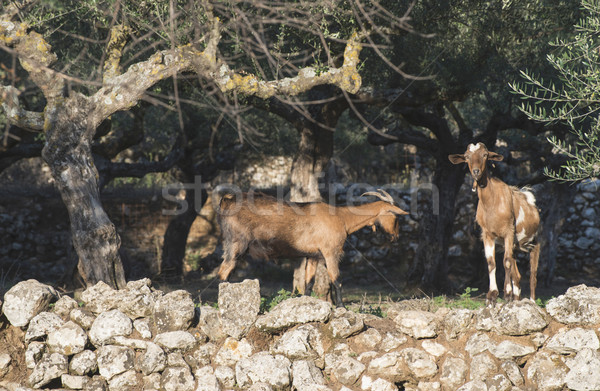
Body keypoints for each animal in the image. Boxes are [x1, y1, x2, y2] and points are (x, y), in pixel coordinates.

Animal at [448, 142, 540, 308]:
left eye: (485, 155)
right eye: (466, 157)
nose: (476, 172)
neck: (492, 203)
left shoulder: (509, 231)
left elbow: (506, 262)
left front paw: (507, 294)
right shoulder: (487, 234)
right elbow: (491, 263)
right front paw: (491, 296)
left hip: (535, 242)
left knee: (533, 275)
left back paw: (531, 301)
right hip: (515, 245)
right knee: (517, 275)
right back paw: (516, 299)